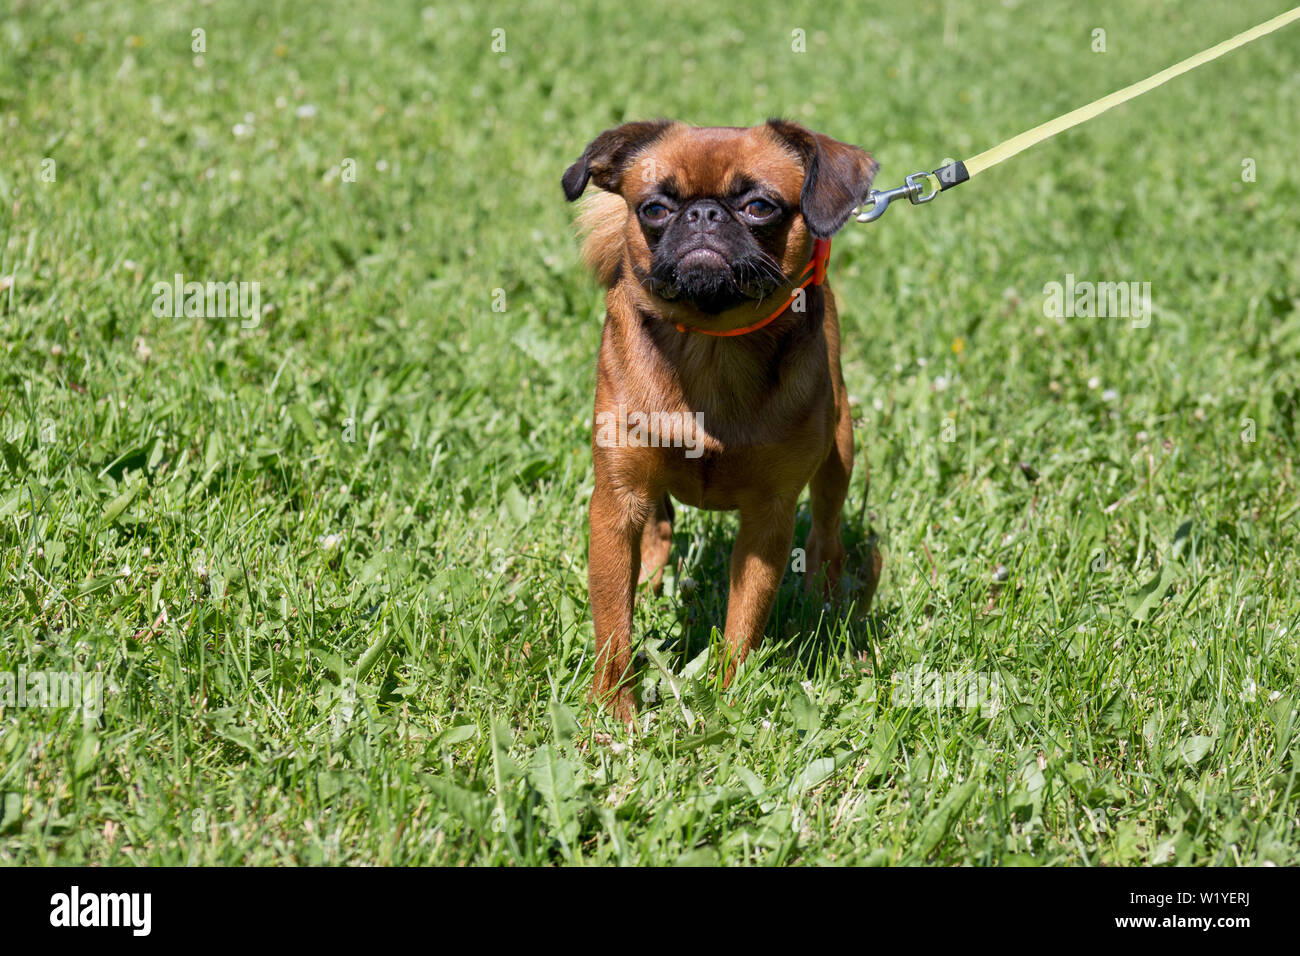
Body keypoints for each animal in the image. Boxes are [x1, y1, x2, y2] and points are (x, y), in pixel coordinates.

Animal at [561, 117, 883, 717]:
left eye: (759, 206)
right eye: (654, 208)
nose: (705, 214)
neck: (712, 344)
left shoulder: (768, 519)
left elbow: (743, 623)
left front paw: (726, 698)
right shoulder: (615, 504)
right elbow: (613, 626)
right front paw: (613, 713)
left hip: (840, 449)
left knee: (827, 533)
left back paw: (823, 603)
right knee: (659, 526)